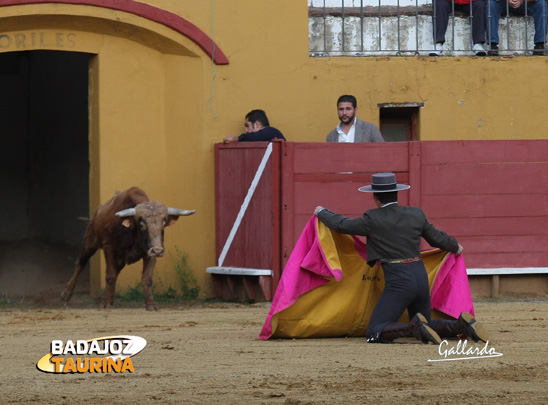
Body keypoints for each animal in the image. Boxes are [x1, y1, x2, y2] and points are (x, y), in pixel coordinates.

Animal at [61, 186, 195, 310]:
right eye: (142, 225)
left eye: (163, 222)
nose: (158, 251)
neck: (131, 232)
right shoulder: (109, 248)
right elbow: (110, 276)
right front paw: (105, 302)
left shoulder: (150, 253)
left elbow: (147, 279)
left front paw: (151, 304)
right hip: (90, 241)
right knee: (80, 264)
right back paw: (66, 295)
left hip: (121, 259)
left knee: (116, 271)